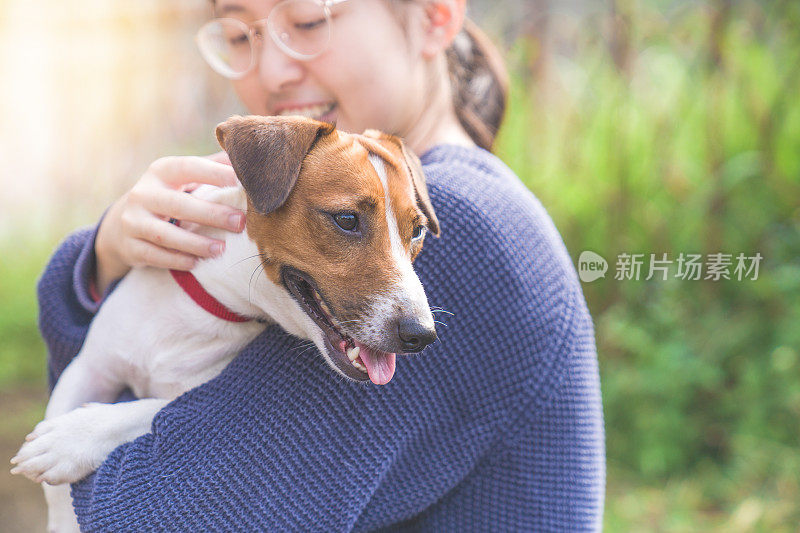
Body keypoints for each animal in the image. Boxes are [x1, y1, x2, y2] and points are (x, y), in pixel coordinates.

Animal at [9, 115, 440, 532]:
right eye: (347, 219)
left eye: (417, 230)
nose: (422, 335)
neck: (212, 297)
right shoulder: (89, 368)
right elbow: (58, 487)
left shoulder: (195, 401)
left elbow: (145, 409)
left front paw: (71, 438)